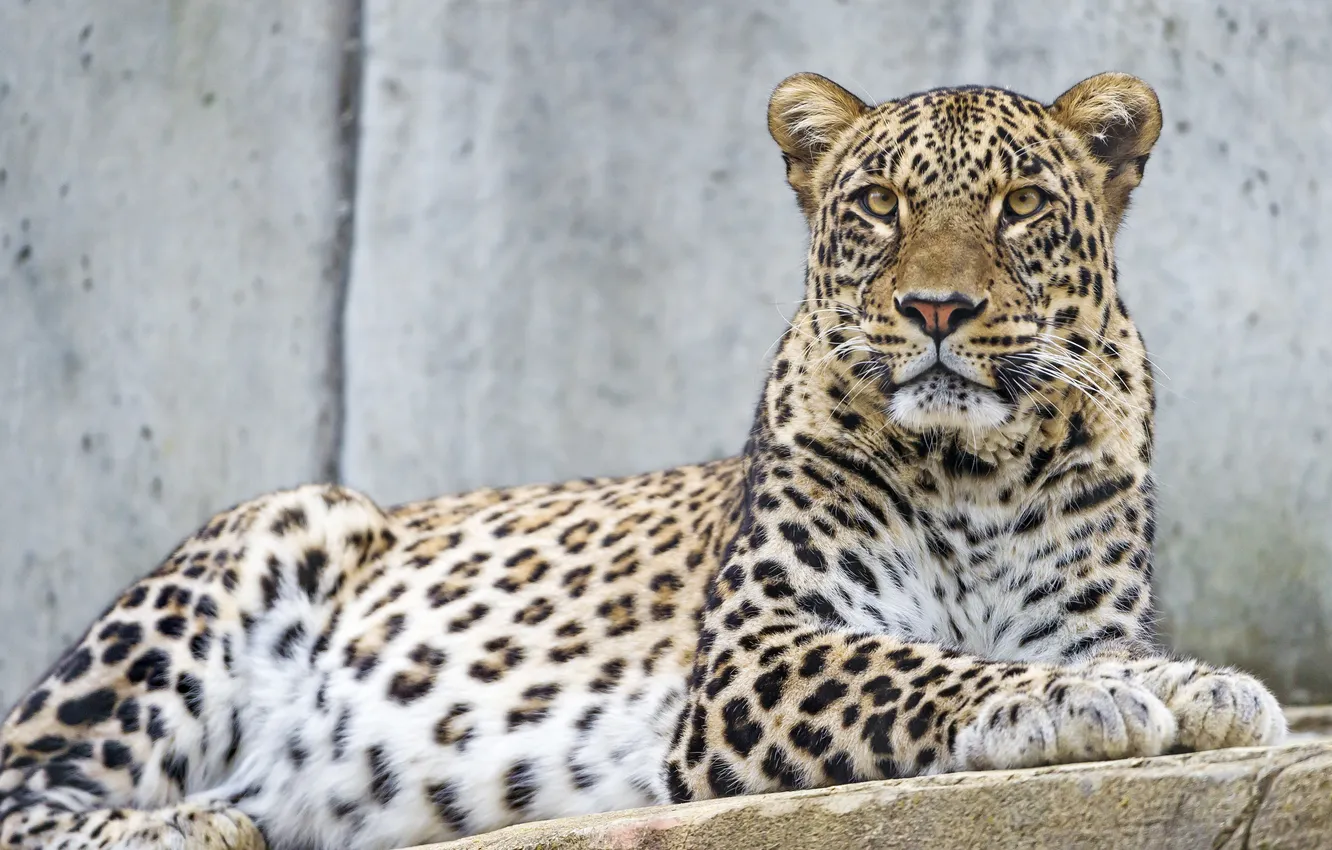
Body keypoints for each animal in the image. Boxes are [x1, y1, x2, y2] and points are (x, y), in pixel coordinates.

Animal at [0, 70, 1286, 850]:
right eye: (877, 202)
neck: (977, 465)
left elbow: (1111, 654)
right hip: (276, 530)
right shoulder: (758, 650)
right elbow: (926, 666)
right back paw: (200, 821)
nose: (934, 309)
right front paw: (1068, 699)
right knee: (27, 786)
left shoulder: (1082, 609)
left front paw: (1203, 686)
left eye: (1020, 205)